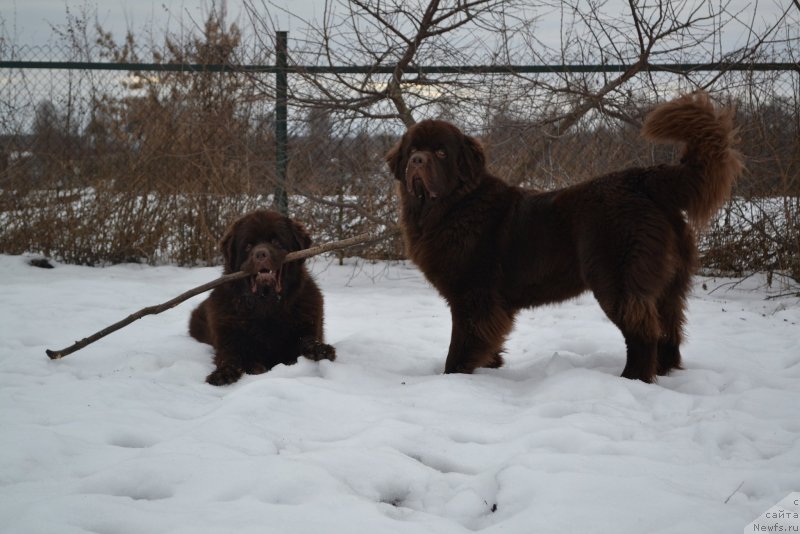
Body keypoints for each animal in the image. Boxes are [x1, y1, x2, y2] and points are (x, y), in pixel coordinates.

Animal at [191, 210, 334, 390]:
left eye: (276, 241)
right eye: (248, 246)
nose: (260, 254)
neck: (267, 306)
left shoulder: (309, 322)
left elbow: (307, 339)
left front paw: (320, 350)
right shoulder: (228, 336)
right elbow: (230, 356)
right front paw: (224, 373)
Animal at [384, 93, 740, 386]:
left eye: (441, 152)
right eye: (413, 150)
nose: (417, 161)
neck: (454, 207)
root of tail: (643, 180)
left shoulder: (473, 295)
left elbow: (462, 342)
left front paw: (454, 376)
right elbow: (488, 340)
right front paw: (489, 366)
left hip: (617, 279)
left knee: (643, 330)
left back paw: (633, 379)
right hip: (669, 282)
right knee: (670, 327)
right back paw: (662, 371)